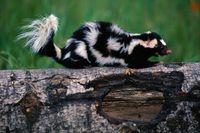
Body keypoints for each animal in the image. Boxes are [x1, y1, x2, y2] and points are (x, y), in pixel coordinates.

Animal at [18, 14, 171, 68]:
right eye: (159, 46)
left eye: (164, 44)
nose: (169, 50)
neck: (135, 41)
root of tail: (64, 51)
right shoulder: (130, 54)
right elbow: (136, 64)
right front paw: (154, 63)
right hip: (80, 47)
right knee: (74, 59)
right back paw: (84, 65)